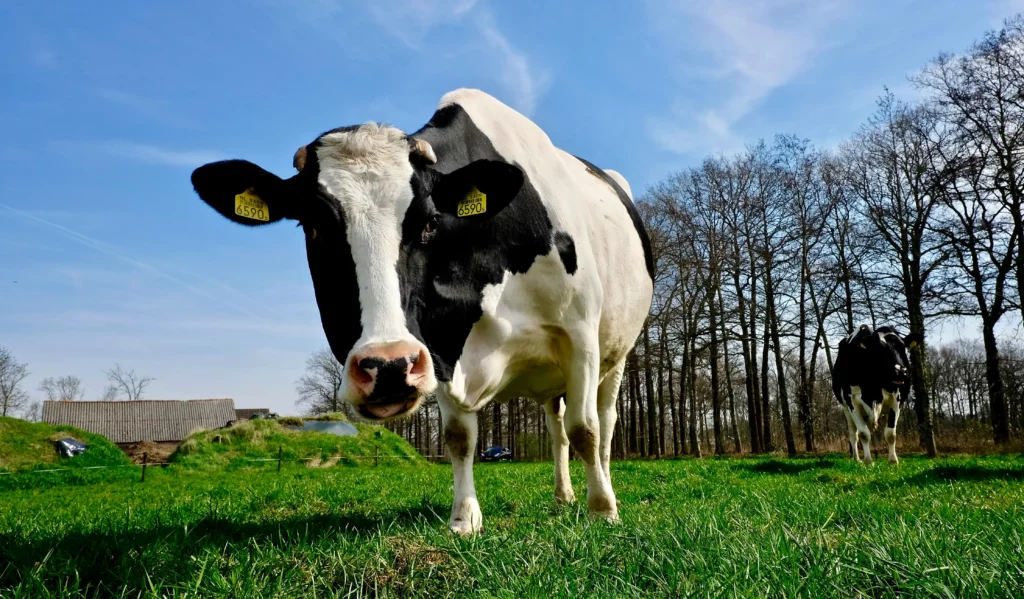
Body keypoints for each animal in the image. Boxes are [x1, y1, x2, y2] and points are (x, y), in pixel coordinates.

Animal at [188, 88, 654, 534]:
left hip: (615, 355)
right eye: (312, 226)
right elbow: (459, 438)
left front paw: (603, 511)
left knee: (603, 422)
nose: (388, 367)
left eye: (430, 222)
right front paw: (464, 518)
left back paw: (602, 489)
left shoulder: (579, 335)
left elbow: (586, 428)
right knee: (556, 429)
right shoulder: (439, 346)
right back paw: (562, 496)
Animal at [831, 324, 922, 465]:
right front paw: (868, 461)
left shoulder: (896, 400)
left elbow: (890, 434)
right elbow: (864, 434)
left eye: (902, 347)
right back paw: (857, 459)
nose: (900, 371)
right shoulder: (852, 401)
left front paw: (893, 461)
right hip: (846, 409)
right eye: (879, 349)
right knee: (853, 435)